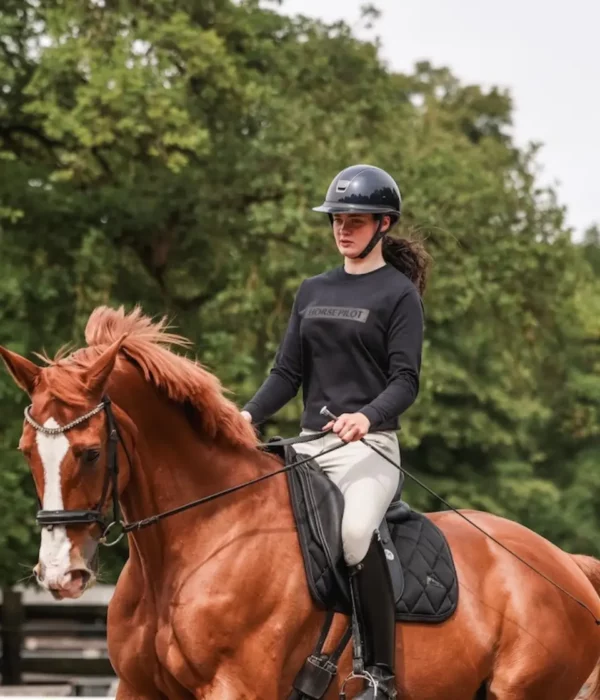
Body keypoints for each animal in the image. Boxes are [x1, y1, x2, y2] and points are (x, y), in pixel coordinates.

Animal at [1, 304, 599, 700]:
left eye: (90, 452)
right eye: (27, 450)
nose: (59, 575)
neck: (197, 541)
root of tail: (565, 564)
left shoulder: (235, 689)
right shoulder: (138, 689)